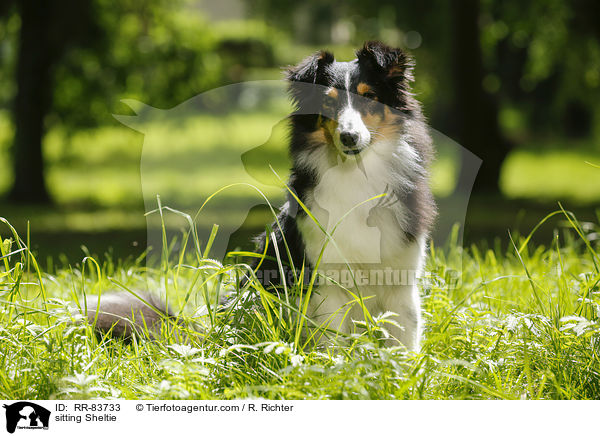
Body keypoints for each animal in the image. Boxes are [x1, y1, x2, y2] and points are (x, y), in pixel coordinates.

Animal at [85, 41, 436, 350]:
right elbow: (334, 343)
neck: (356, 174)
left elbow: (404, 344)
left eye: (370, 98)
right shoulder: (327, 281)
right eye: (328, 104)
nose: (349, 137)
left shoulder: (402, 282)